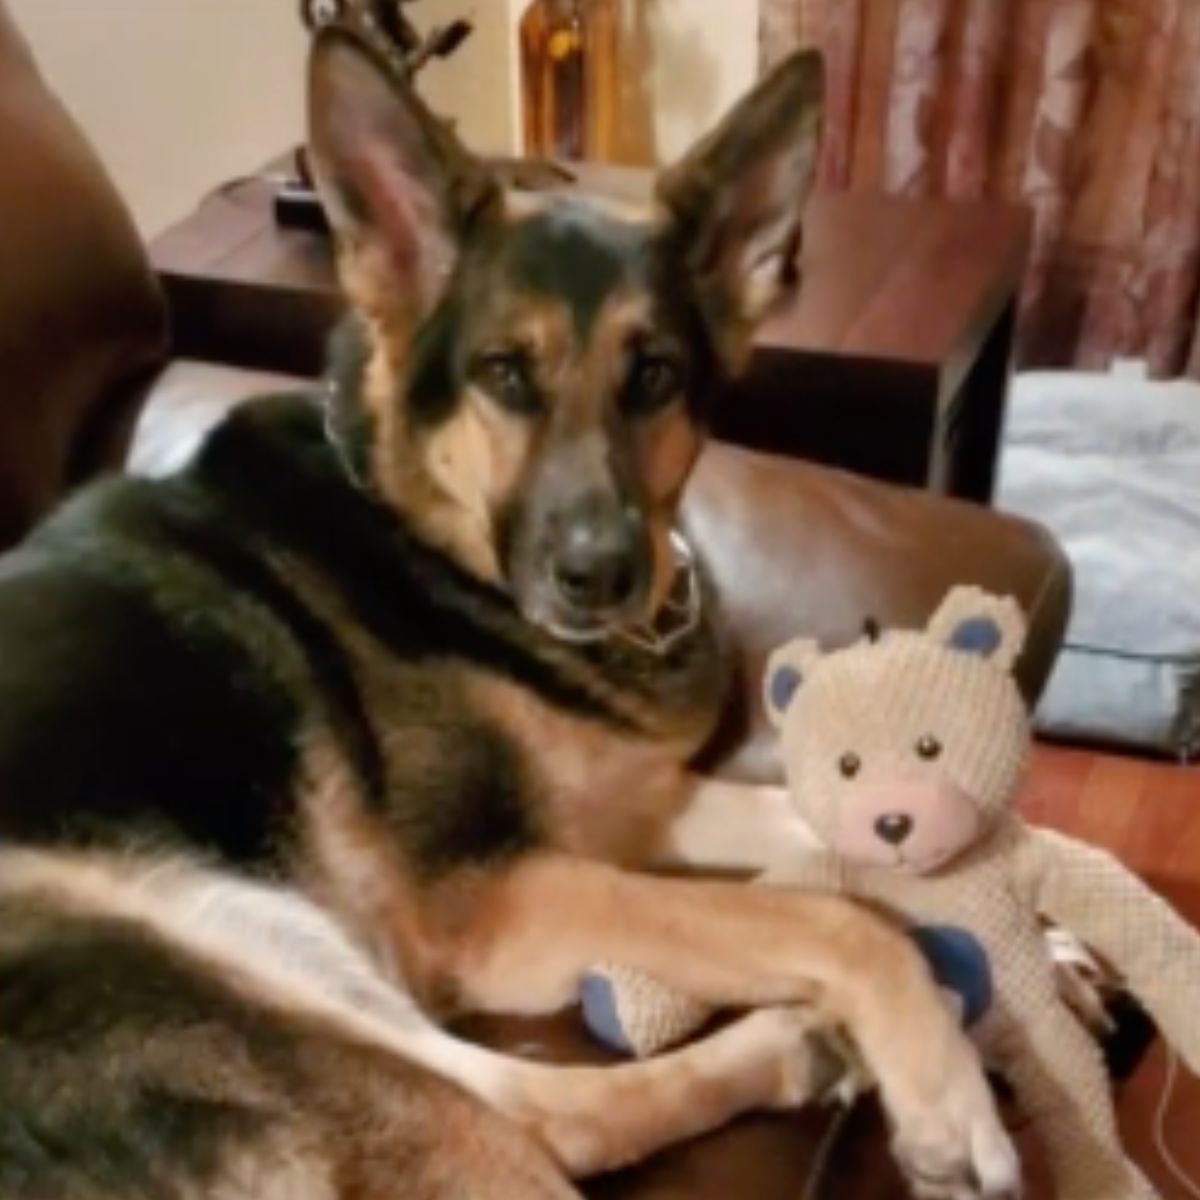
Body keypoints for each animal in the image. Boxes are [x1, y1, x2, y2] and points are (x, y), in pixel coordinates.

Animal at [0, 28, 1017, 1200]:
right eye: (504, 374)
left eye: (654, 375)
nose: (601, 574)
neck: (420, 536)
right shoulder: (500, 897)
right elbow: (825, 912)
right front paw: (943, 1084)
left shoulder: (637, 811)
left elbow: (820, 836)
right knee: (535, 1118)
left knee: (536, 1100)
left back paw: (788, 1049)